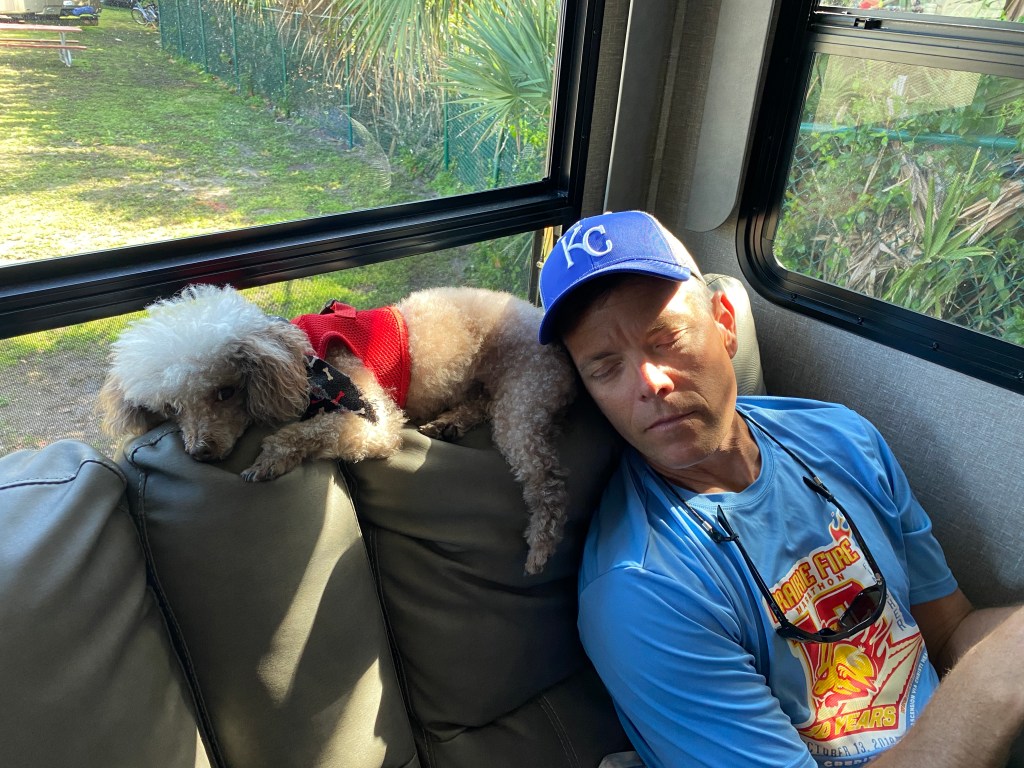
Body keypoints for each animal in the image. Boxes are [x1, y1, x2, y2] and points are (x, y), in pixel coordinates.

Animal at [99, 283, 578, 574]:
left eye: (224, 392)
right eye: (172, 407)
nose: (200, 452)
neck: (306, 362)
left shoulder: (378, 420)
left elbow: (319, 431)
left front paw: (270, 457)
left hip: (525, 398)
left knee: (549, 483)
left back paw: (541, 546)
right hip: (493, 391)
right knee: (480, 405)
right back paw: (450, 422)